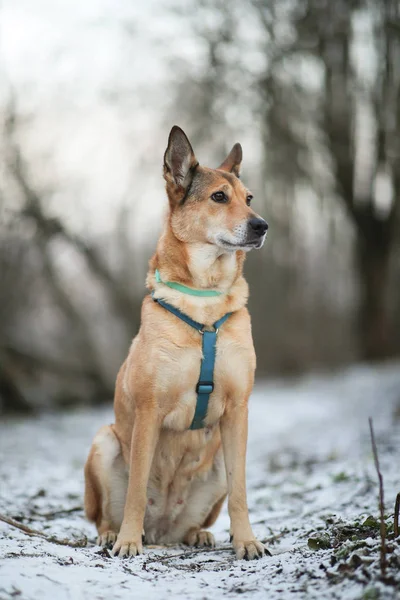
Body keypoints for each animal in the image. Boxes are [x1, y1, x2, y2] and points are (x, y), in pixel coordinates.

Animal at [85, 124, 268, 560]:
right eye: (218, 196)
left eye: (249, 198)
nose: (262, 226)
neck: (204, 300)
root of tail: (163, 529)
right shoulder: (148, 411)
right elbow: (136, 490)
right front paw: (129, 542)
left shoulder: (238, 411)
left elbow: (241, 490)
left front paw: (247, 541)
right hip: (104, 443)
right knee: (103, 515)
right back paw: (114, 534)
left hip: (214, 467)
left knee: (199, 518)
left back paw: (198, 535)